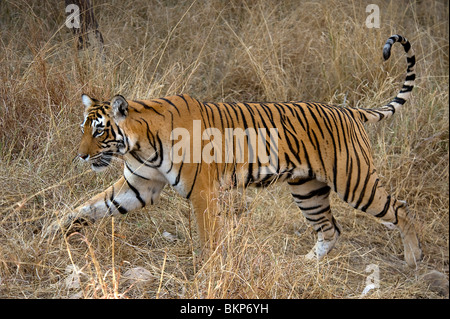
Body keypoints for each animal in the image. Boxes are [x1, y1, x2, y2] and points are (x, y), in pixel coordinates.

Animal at [46, 34, 422, 268]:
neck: (140, 145)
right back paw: (307, 263)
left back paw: (413, 259)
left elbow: (208, 235)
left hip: (354, 182)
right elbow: (91, 206)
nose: (80, 155)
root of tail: (351, 111)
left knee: (401, 209)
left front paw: (208, 268)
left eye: (99, 130)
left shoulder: (202, 192)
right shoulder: (139, 187)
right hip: (308, 188)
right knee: (330, 229)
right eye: (83, 128)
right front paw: (51, 231)